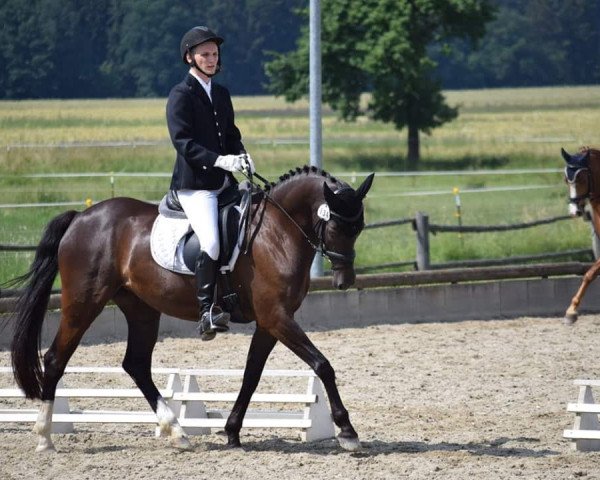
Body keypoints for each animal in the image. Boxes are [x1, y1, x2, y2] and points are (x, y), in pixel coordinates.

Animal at [4, 168, 372, 454]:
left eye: (359, 228)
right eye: (336, 227)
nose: (345, 281)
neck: (276, 232)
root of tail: (80, 218)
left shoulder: (270, 323)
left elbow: (251, 376)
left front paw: (232, 432)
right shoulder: (277, 318)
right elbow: (322, 365)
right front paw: (348, 432)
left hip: (141, 308)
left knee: (136, 365)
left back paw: (177, 432)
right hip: (84, 302)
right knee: (55, 359)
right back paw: (45, 439)